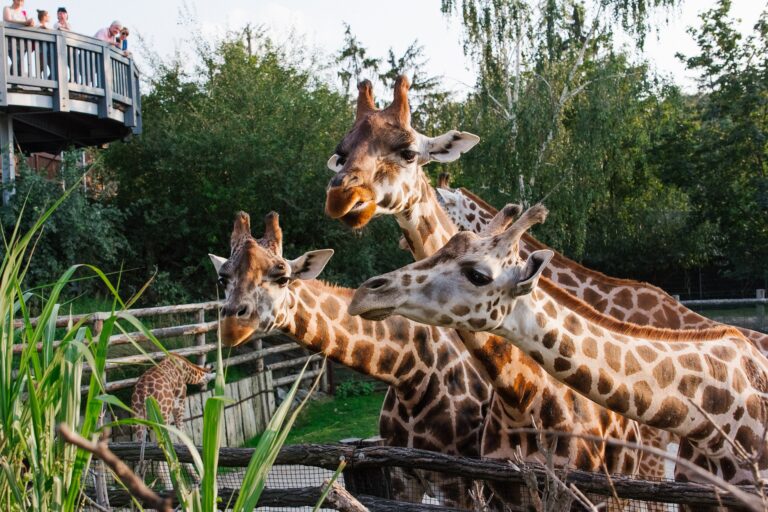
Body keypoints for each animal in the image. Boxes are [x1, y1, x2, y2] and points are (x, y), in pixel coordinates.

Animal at [131, 352, 210, 488]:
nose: (206, 381)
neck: (185, 369)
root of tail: (144, 393)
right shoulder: (179, 404)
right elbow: (182, 437)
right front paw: (197, 478)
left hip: (139, 422)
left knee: (138, 463)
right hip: (161, 418)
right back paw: (171, 488)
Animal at [214, 210, 492, 506]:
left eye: (282, 277)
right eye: (222, 280)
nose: (232, 325)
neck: (410, 374)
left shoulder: (459, 484)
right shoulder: (402, 476)